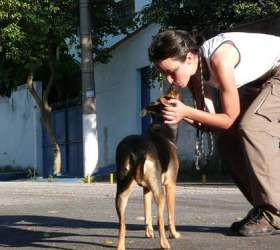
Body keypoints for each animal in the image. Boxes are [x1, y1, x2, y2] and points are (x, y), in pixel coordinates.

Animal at [115, 85, 180, 248]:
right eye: (169, 95)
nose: (173, 85)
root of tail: (136, 150)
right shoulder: (170, 184)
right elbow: (170, 215)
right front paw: (174, 234)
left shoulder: (147, 188)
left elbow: (147, 211)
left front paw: (148, 232)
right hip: (160, 192)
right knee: (160, 219)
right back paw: (165, 244)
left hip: (122, 192)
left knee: (122, 224)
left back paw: (121, 246)